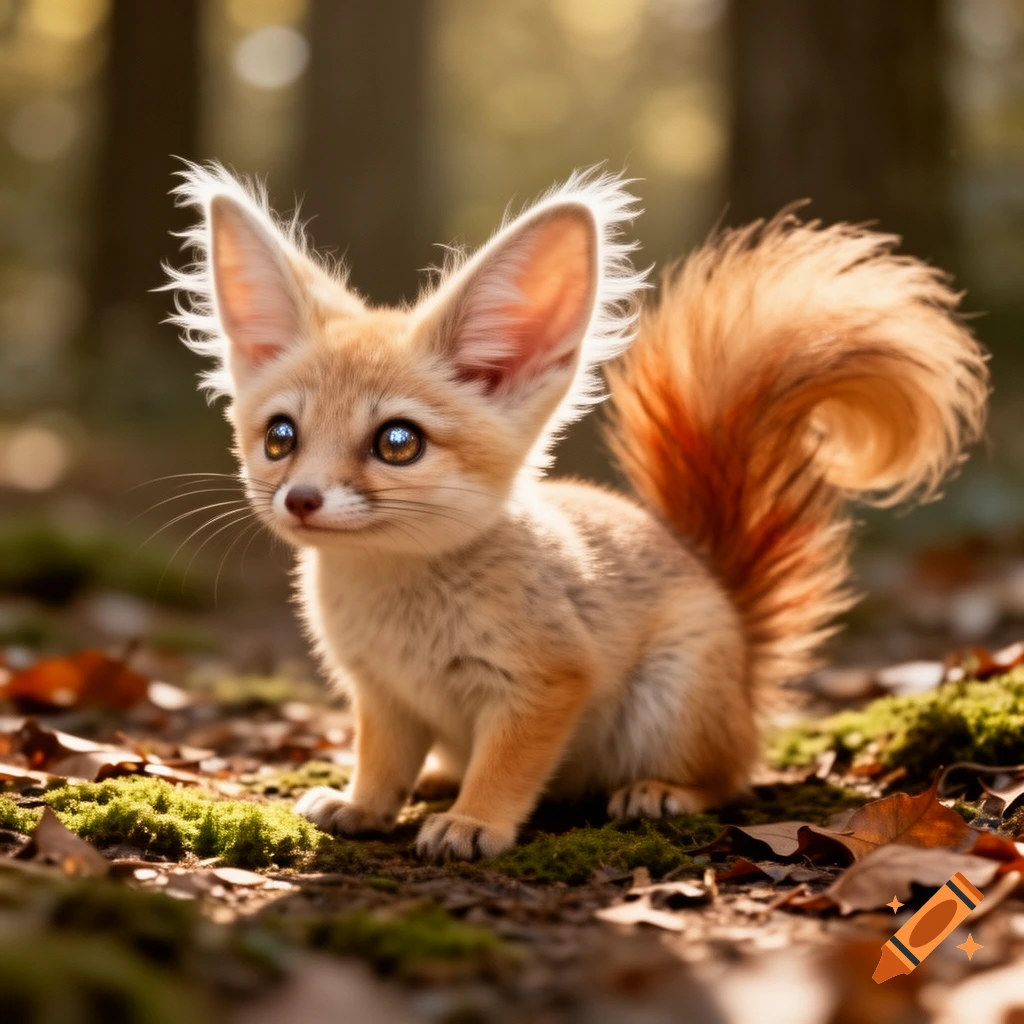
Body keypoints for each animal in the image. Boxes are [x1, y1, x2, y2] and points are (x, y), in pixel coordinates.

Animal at [167, 164, 988, 861]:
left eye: (398, 442)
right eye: (280, 437)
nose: (301, 498)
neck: (398, 599)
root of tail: (746, 660)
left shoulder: (545, 682)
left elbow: (505, 768)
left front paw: (473, 823)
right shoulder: (383, 696)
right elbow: (380, 762)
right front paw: (365, 805)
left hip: (673, 697)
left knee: (731, 778)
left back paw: (659, 792)